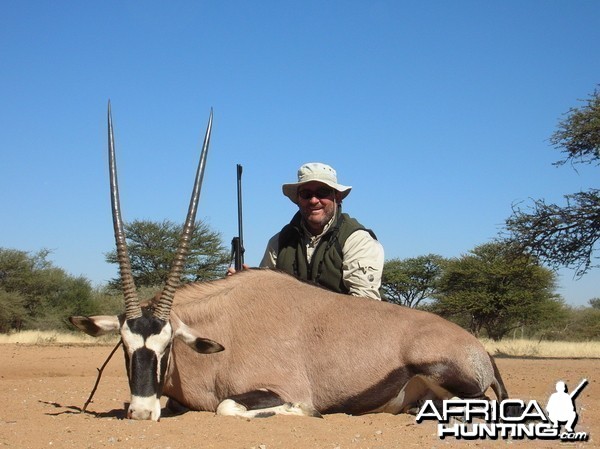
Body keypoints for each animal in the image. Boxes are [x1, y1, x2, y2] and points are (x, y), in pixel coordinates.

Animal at [70, 105, 510, 420]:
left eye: (166, 348)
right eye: (125, 347)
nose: (141, 413)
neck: (224, 322)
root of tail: (480, 350)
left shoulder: (269, 388)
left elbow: (228, 406)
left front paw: (303, 411)